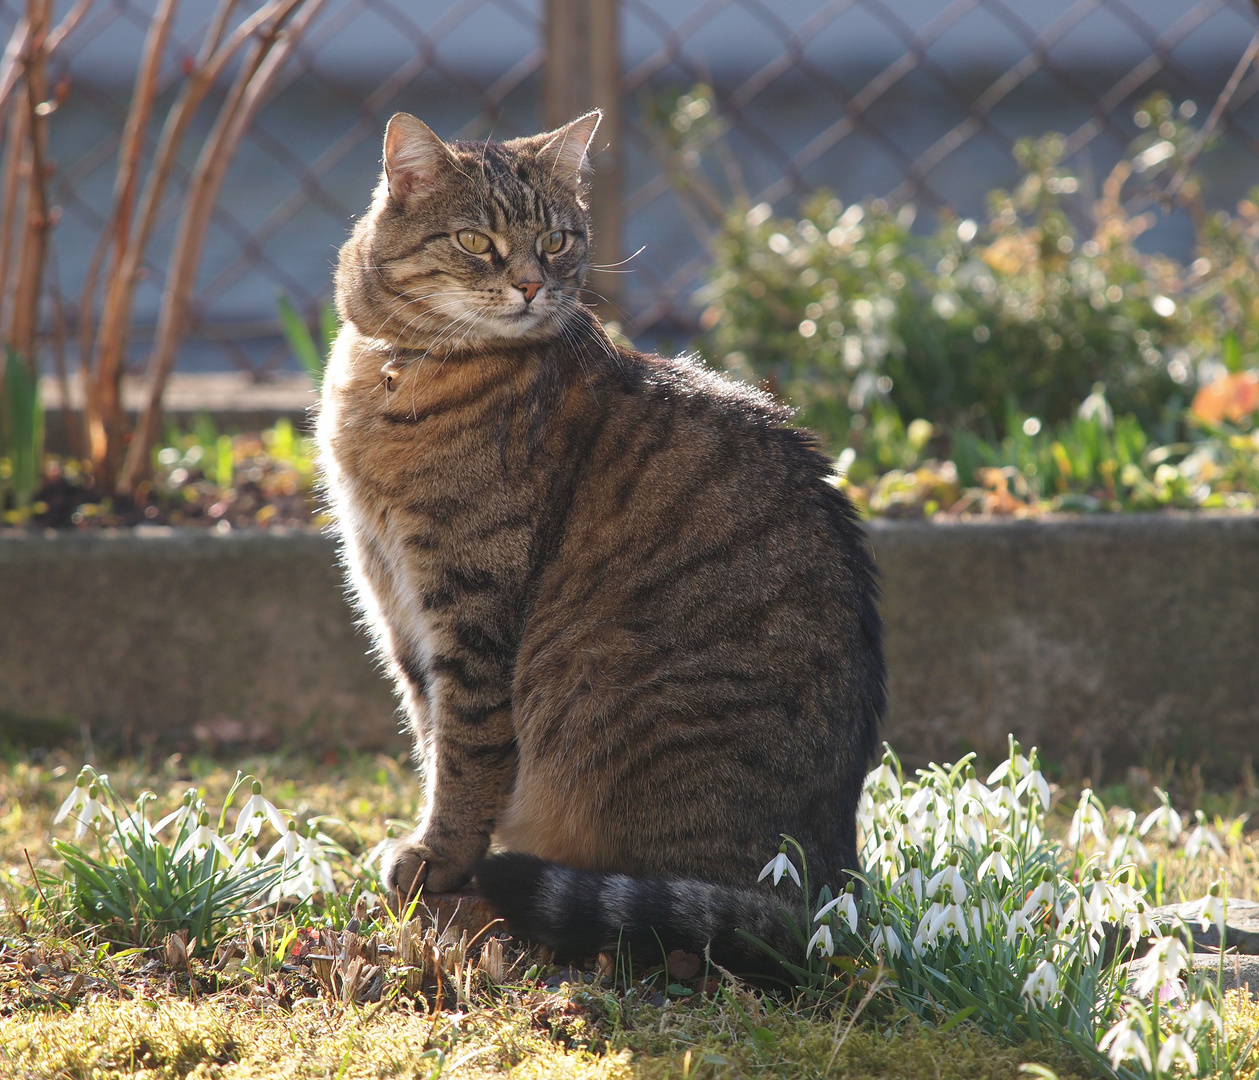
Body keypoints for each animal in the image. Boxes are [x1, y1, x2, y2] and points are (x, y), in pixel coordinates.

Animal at [314, 111, 886, 976]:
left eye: (554, 241)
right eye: (476, 241)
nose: (528, 284)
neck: (394, 369)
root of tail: (827, 890)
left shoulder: (469, 603)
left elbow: (466, 750)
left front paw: (439, 858)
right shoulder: (394, 603)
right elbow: (429, 731)